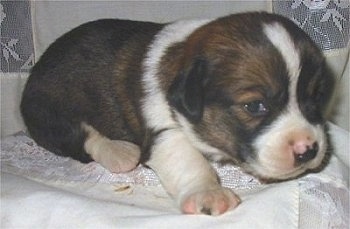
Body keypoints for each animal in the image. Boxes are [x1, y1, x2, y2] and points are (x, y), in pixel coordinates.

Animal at [21, 12, 334, 216]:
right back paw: (118, 152)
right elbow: (188, 160)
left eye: (316, 97)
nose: (308, 150)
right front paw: (209, 193)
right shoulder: (164, 132)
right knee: (79, 134)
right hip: (48, 109)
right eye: (255, 106)